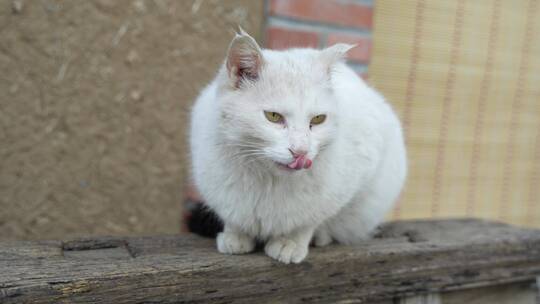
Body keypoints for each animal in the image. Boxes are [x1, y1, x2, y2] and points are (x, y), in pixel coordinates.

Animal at [190, 31, 404, 264]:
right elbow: (234, 217)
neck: (268, 181)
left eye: (318, 119)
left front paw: (289, 243)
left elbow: (307, 221)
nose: (300, 151)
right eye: (273, 116)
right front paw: (235, 237)